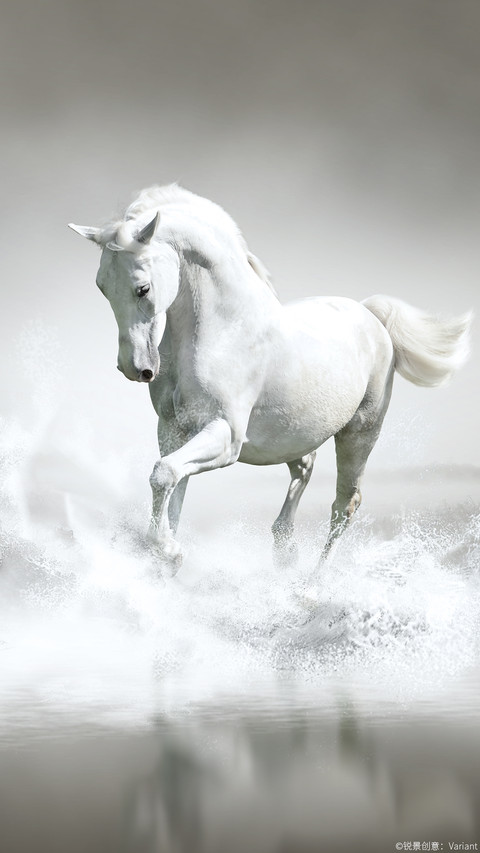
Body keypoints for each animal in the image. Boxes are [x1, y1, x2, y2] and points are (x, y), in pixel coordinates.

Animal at [69, 184, 471, 575]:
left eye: (143, 288)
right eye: (102, 287)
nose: (135, 367)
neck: (224, 331)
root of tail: (370, 316)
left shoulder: (225, 436)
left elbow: (164, 474)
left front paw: (168, 552)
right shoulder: (173, 430)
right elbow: (172, 486)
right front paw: (165, 556)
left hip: (360, 433)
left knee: (344, 504)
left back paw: (312, 583)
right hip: (293, 434)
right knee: (305, 468)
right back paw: (284, 549)